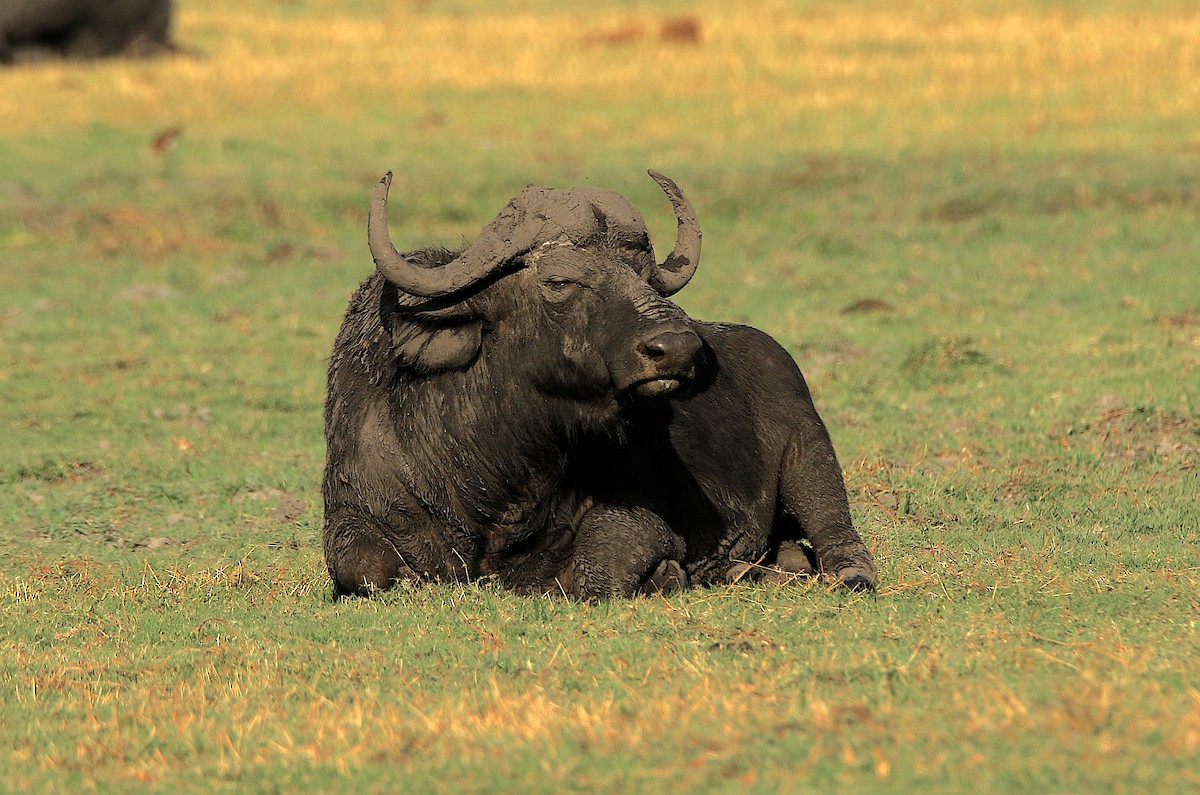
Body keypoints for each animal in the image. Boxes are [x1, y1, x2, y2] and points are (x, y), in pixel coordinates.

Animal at [323, 170, 876, 599]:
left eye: (643, 276)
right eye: (559, 280)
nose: (678, 348)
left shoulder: (639, 520)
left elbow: (597, 574)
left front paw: (668, 574)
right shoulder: (351, 512)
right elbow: (363, 566)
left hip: (811, 453)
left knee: (837, 533)